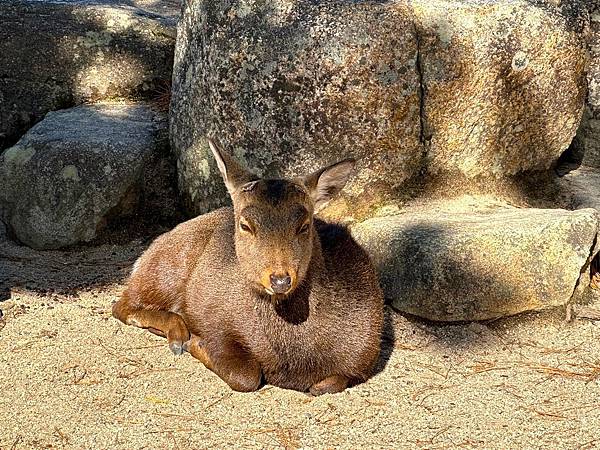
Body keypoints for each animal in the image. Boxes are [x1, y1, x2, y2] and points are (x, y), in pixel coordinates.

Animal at [111, 139, 384, 396]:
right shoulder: (217, 322)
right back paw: (178, 334)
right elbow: (246, 376)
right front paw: (195, 343)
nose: (280, 279)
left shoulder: (364, 358)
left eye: (304, 225)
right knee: (121, 304)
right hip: (165, 269)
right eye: (245, 225)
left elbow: (327, 384)